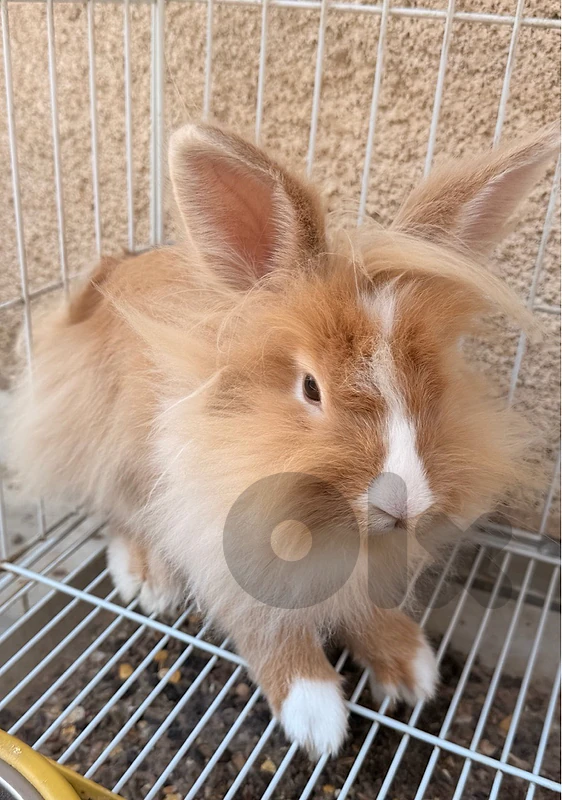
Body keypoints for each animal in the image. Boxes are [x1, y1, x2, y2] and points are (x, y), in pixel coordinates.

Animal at [8, 122, 558, 758]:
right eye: (311, 388)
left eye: (436, 381)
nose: (404, 503)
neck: (331, 524)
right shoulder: (221, 543)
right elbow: (268, 630)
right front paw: (315, 716)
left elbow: (363, 608)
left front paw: (409, 665)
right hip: (110, 451)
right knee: (118, 514)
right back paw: (148, 578)